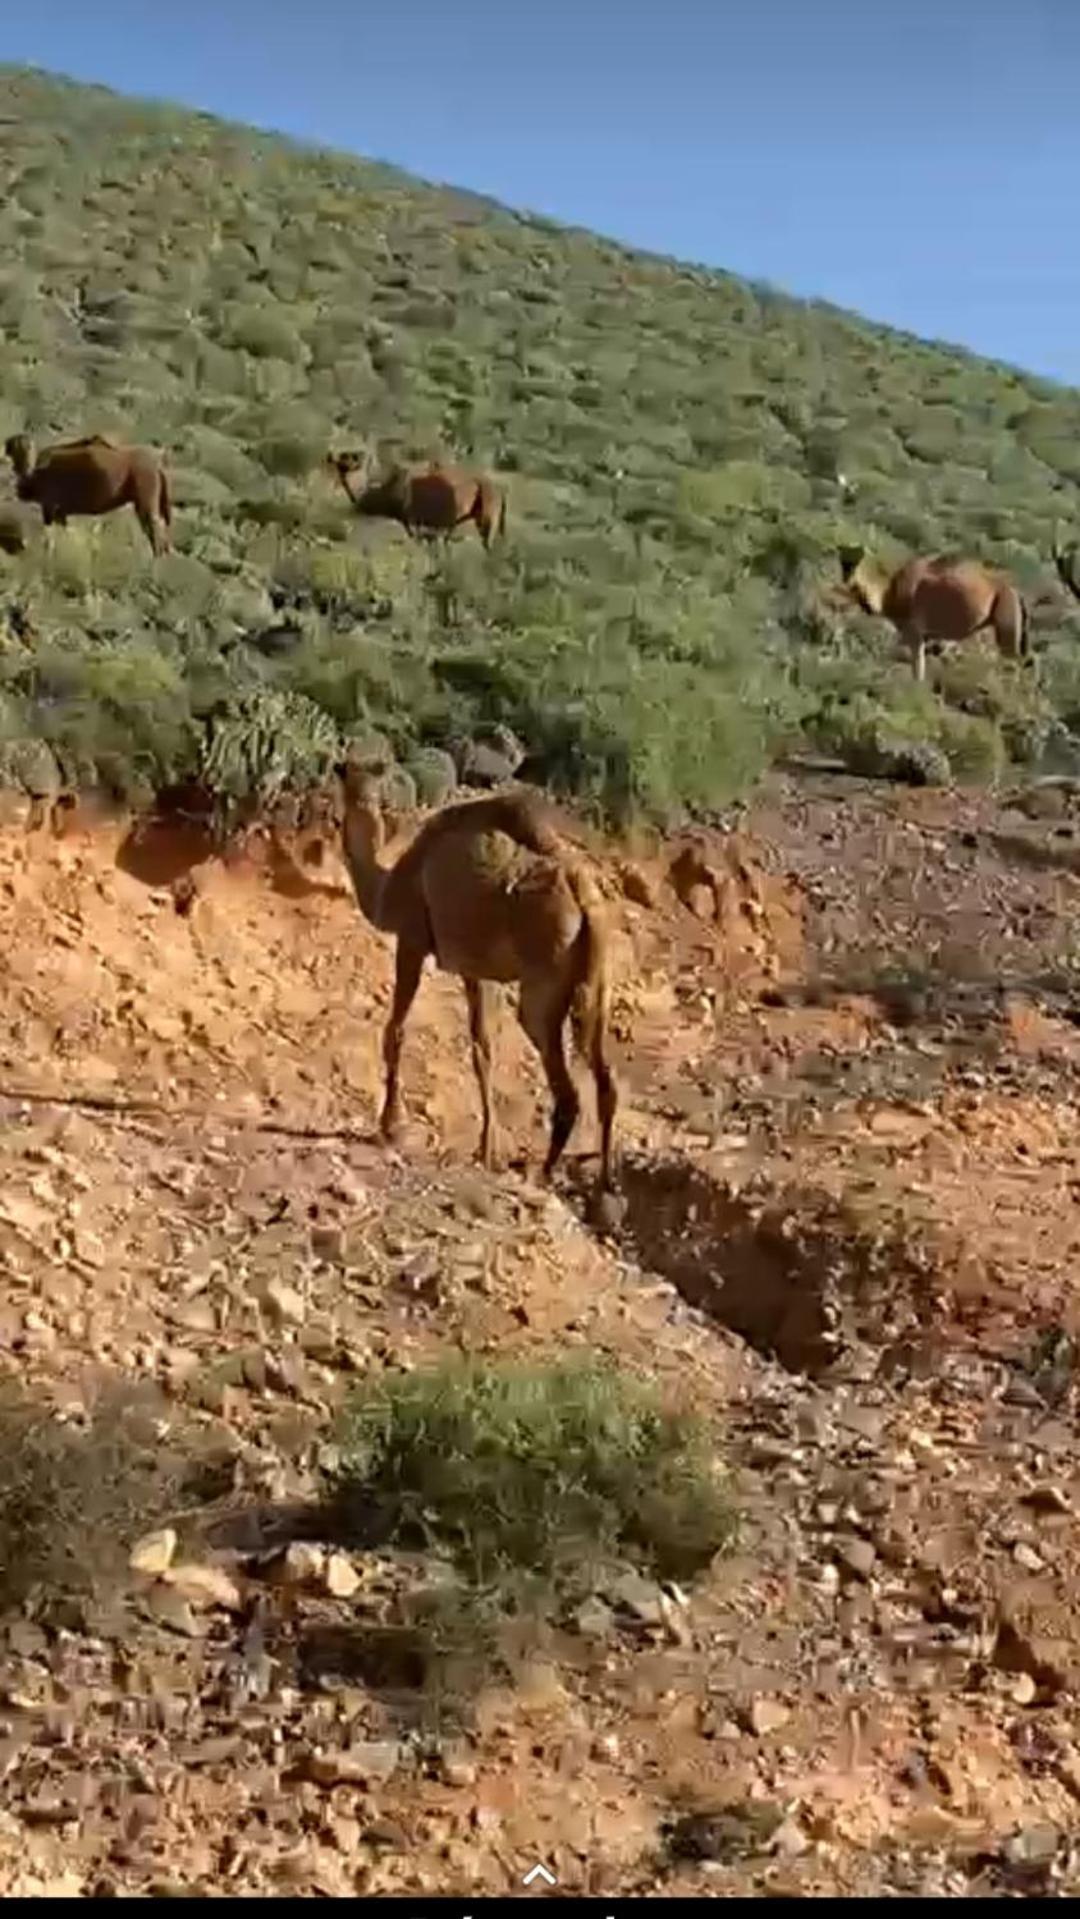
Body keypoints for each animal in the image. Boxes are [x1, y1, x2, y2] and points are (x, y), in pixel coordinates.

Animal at [3, 429, 173, 556]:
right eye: (12, 448)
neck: (35, 474)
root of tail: (158, 464)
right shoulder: (60, 513)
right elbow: (65, 535)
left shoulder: (49, 507)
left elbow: (49, 540)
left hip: (145, 494)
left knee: (153, 529)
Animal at [328, 456, 510, 556]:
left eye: (346, 462)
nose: (332, 460)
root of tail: (500, 491)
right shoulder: (418, 523)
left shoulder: (414, 520)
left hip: (488, 510)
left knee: (488, 541)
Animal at [333, 759, 621, 1182]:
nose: (345, 804)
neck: (389, 886)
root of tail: (583, 893)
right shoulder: (475, 969)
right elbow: (483, 1048)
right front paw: (489, 1151)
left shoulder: (412, 939)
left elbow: (395, 1031)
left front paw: (390, 1126)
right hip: (597, 979)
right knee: (604, 1076)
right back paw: (603, 1180)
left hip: (544, 981)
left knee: (567, 1088)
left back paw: (545, 1171)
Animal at [836, 548, 1028, 683]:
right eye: (842, 561)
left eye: (854, 562)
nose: (847, 577)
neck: (889, 593)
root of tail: (1014, 592)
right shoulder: (925, 636)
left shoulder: (914, 631)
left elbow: (917, 668)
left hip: (1006, 621)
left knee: (1013, 662)